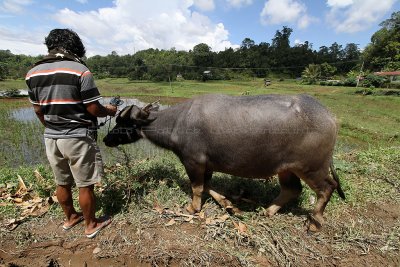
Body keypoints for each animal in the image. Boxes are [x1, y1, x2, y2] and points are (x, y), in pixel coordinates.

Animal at [104, 94, 346, 232]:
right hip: (287, 168)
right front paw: (230, 205)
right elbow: (208, 186)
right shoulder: (207, 164)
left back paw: (314, 223)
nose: (106, 139)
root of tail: (331, 118)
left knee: (327, 188)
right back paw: (268, 211)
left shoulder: (192, 161)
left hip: (312, 167)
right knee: (292, 189)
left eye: (123, 122)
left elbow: (197, 187)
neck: (177, 123)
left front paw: (192, 208)